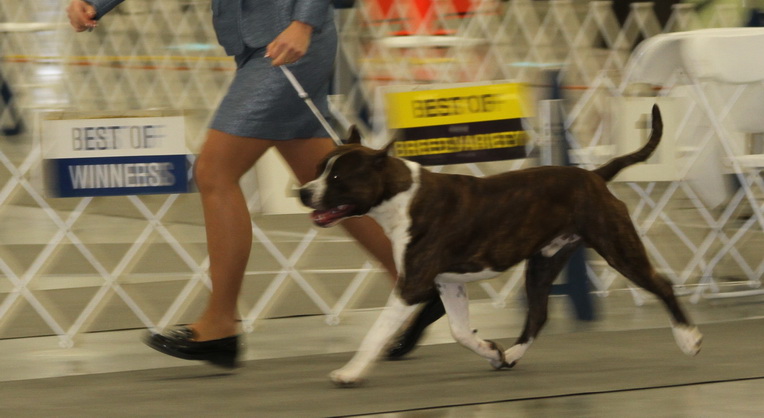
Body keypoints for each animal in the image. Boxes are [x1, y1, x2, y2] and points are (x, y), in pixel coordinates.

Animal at [299, 105, 702, 386]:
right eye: (318, 169)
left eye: (337, 177)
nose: (303, 191)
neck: (400, 196)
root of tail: (595, 177)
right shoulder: (447, 282)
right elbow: (460, 332)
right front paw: (489, 350)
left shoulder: (411, 285)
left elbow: (377, 332)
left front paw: (349, 373)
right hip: (544, 262)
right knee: (538, 315)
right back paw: (510, 354)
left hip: (618, 247)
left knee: (662, 284)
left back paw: (689, 339)